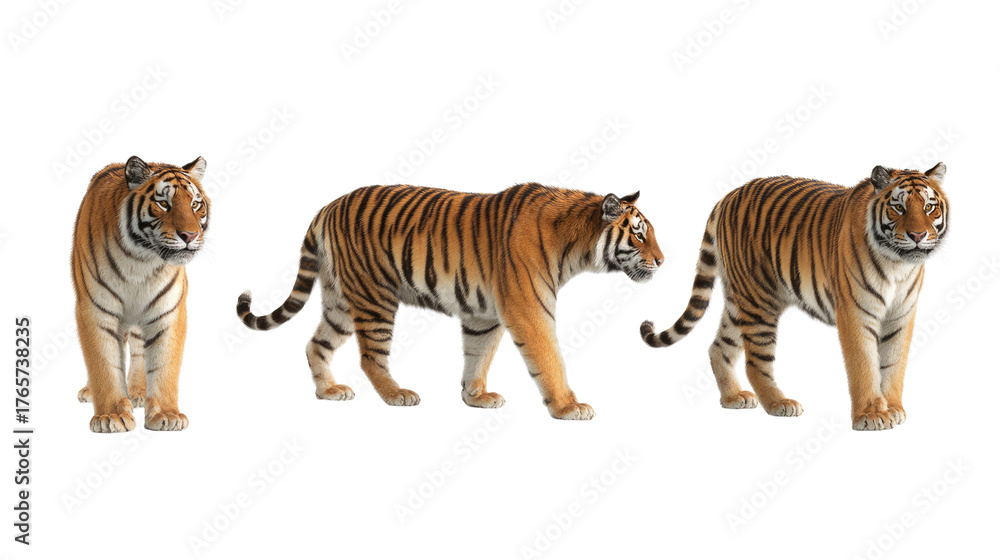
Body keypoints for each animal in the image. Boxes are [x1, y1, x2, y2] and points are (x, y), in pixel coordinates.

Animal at [73, 156, 210, 433]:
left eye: (195, 204)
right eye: (164, 204)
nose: (191, 235)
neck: (141, 259)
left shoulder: (168, 311)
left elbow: (164, 364)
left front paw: (167, 415)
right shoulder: (95, 310)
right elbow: (104, 363)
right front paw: (111, 416)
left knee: (138, 349)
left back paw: (138, 392)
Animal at [236, 183, 664, 420]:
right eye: (639, 235)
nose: (662, 261)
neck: (575, 247)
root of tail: (327, 207)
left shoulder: (485, 315)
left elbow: (478, 355)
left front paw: (476, 397)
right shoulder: (529, 310)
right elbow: (549, 360)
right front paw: (568, 407)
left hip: (340, 299)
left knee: (316, 344)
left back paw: (328, 391)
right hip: (374, 296)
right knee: (369, 356)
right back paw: (396, 394)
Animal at [640, 163, 949, 431]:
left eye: (929, 207)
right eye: (898, 207)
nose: (918, 235)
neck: (898, 265)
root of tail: (729, 196)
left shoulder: (901, 315)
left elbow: (894, 364)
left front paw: (893, 409)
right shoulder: (855, 312)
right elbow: (864, 365)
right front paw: (871, 415)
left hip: (737, 299)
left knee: (719, 347)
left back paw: (733, 397)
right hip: (759, 301)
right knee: (756, 362)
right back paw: (778, 403)